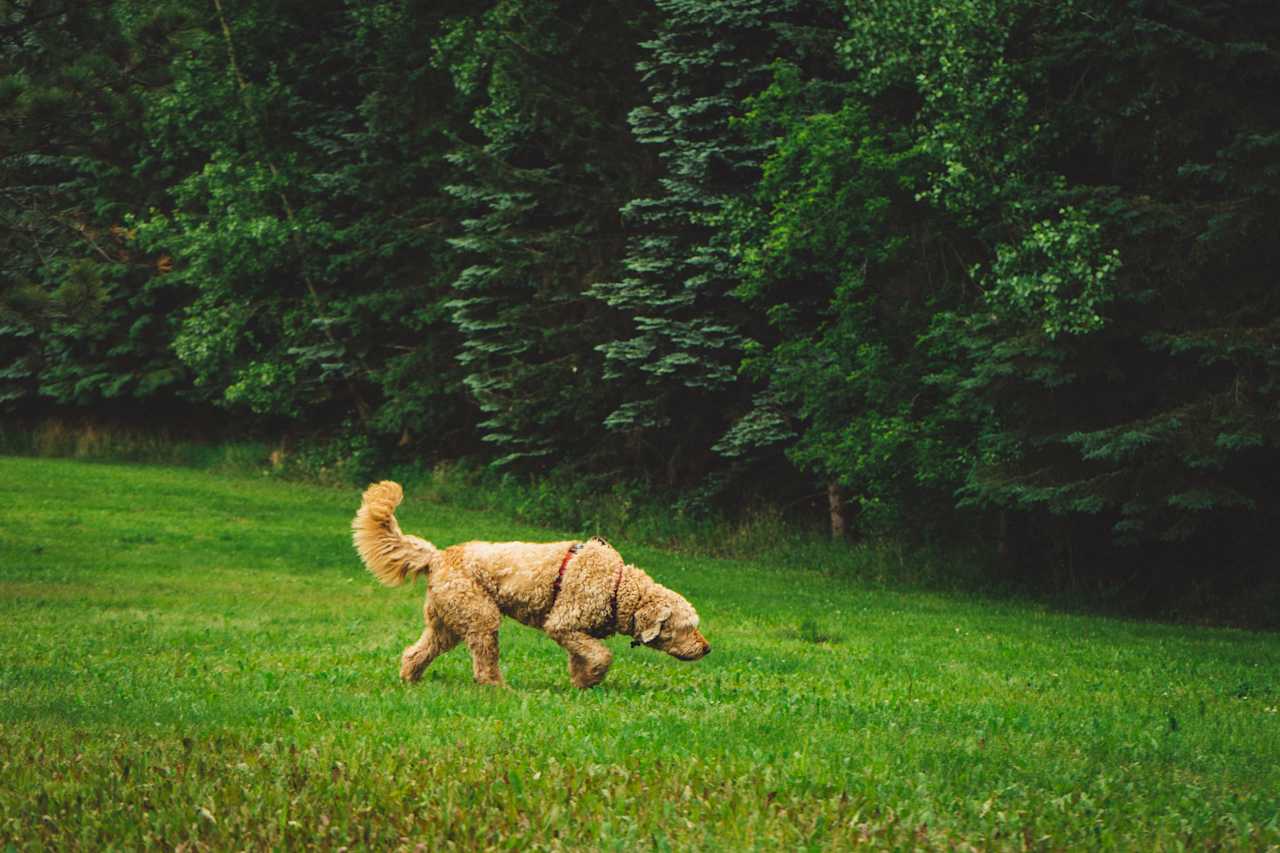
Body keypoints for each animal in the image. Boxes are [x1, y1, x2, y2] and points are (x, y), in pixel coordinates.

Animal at [353, 479, 711, 686]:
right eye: (687, 626)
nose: (708, 649)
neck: (618, 586)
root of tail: (438, 556)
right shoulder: (564, 625)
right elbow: (602, 655)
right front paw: (594, 677)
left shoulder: (574, 632)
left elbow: (582, 659)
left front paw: (582, 684)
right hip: (481, 617)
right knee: (484, 663)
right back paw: (497, 688)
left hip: (447, 623)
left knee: (416, 652)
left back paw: (410, 679)